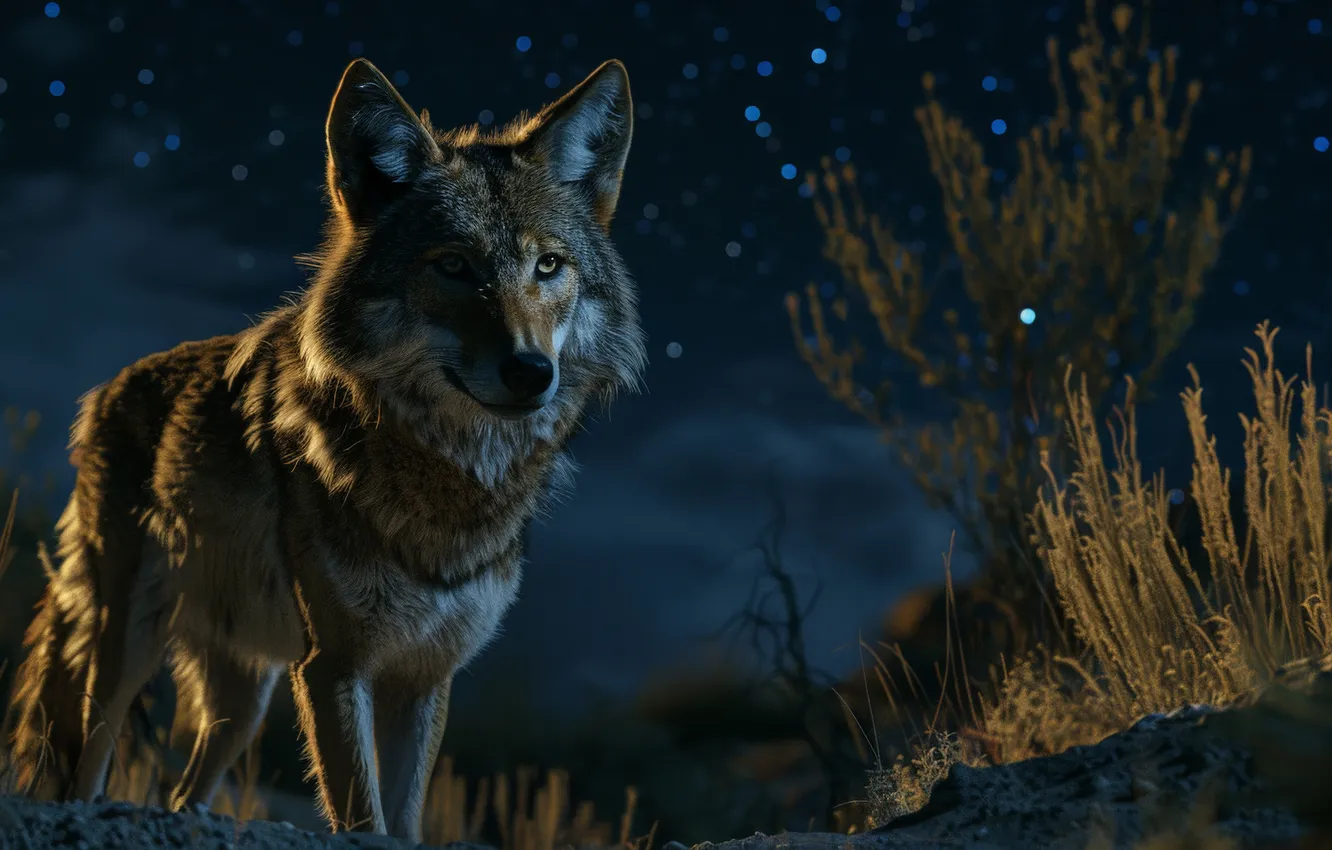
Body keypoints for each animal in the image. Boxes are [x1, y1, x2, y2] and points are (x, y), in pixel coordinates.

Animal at [5, 56, 645, 840]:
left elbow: (403, 821)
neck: (449, 481)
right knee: (85, 772)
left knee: (184, 794)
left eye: (549, 266)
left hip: (244, 701)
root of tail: (104, 390)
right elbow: (362, 817)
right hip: (125, 650)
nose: (531, 372)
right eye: (454, 265)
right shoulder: (336, 665)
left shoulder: (424, 677)